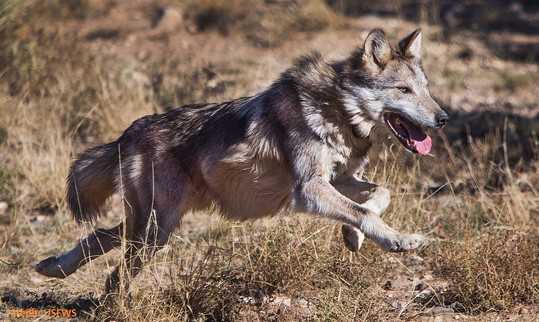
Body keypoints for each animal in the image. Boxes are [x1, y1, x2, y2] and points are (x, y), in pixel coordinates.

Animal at [35, 28, 452, 294]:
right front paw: (398, 240)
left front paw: (354, 236)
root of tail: (128, 133)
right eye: (403, 90)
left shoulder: (339, 180)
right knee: (114, 270)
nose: (444, 118)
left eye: (426, 89)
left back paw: (53, 267)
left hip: (155, 229)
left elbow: (380, 196)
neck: (337, 110)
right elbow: (364, 210)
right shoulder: (309, 189)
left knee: (101, 237)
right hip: (153, 231)